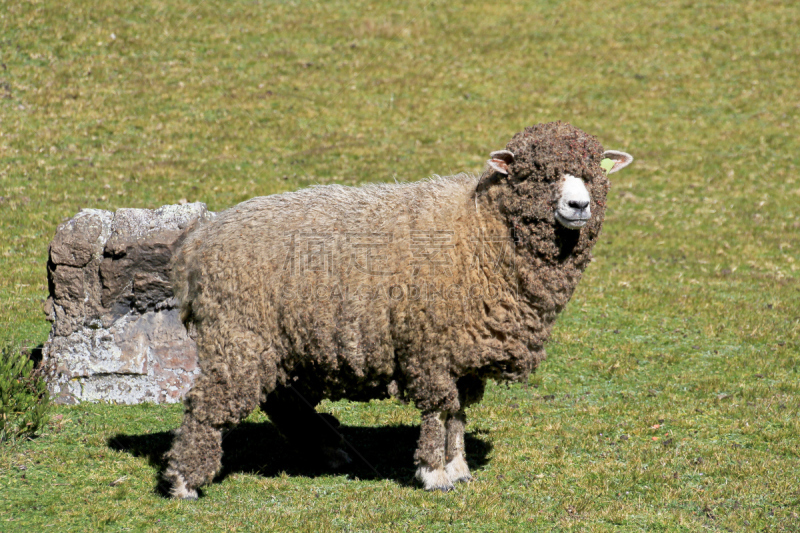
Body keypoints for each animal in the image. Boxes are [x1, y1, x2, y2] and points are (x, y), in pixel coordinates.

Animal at [166, 122, 636, 496]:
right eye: (534, 174)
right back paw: (184, 482)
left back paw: (328, 450)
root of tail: (198, 242)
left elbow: (458, 413)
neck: (481, 230)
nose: (579, 206)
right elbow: (439, 409)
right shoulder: (430, 346)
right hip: (238, 333)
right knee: (207, 404)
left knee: (283, 400)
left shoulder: (463, 351)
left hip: (282, 340)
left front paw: (458, 466)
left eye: (594, 173)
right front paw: (433, 473)